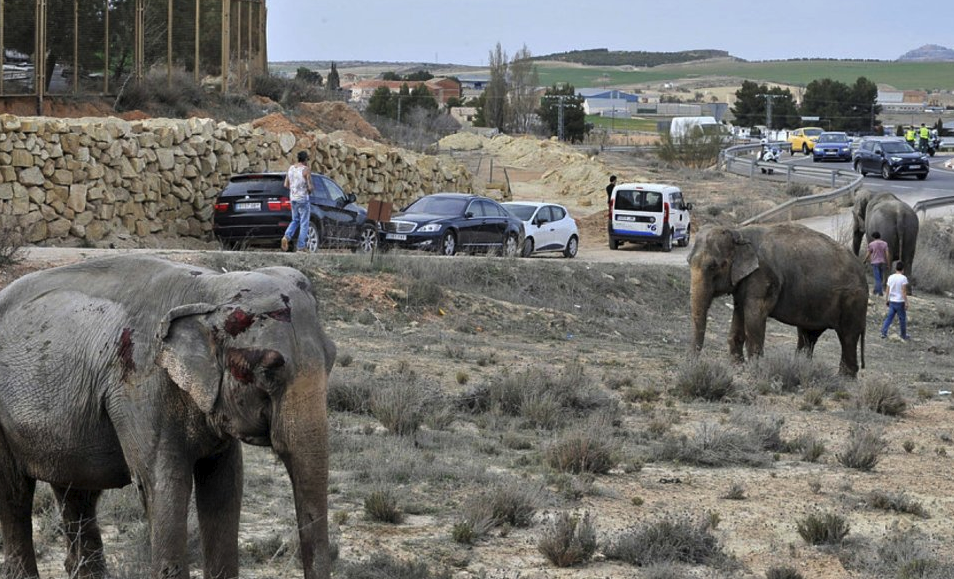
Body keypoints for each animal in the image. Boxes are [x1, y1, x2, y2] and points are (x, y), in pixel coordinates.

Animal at [0, 255, 335, 579]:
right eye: (268, 371)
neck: (209, 291)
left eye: (331, 359)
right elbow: (164, 484)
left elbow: (225, 485)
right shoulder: (141, 386)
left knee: (77, 494)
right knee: (15, 495)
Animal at [689, 223, 868, 376]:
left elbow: (754, 317)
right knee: (808, 335)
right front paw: (737, 366)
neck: (738, 232)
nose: (695, 363)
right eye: (688, 262)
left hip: (853, 300)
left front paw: (755, 369)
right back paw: (801, 368)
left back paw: (844, 378)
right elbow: (739, 313)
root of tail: (863, 271)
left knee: (848, 336)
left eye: (713, 266)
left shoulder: (762, 277)